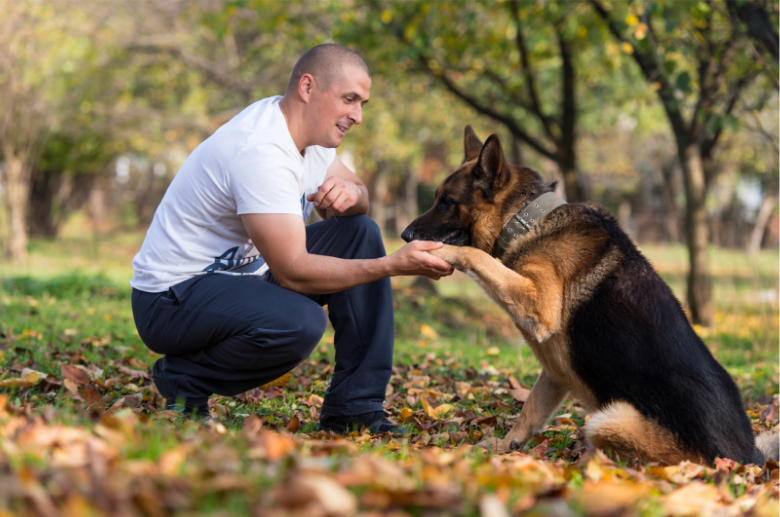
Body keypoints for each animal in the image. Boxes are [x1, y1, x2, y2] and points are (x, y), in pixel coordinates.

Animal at [406, 126, 776, 464]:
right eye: (437, 198)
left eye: (446, 202)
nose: (405, 234)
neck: (527, 220)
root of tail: (746, 459)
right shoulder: (555, 372)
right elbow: (530, 409)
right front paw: (505, 446)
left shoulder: (537, 303)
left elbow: (476, 256)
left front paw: (442, 253)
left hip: (609, 419)